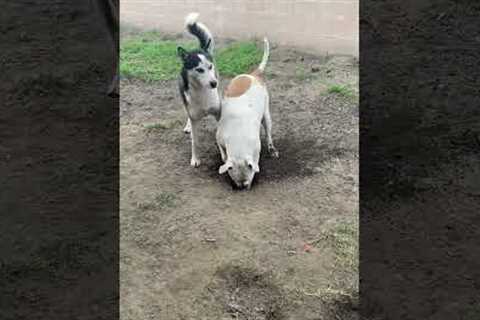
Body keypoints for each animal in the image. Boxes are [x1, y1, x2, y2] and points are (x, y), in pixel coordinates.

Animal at [217, 37, 280, 189]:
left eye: (247, 181)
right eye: (236, 182)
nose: (242, 188)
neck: (238, 136)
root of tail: (254, 75)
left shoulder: (255, 147)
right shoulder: (219, 137)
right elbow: (223, 154)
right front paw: (224, 159)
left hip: (267, 115)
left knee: (268, 132)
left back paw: (272, 149)